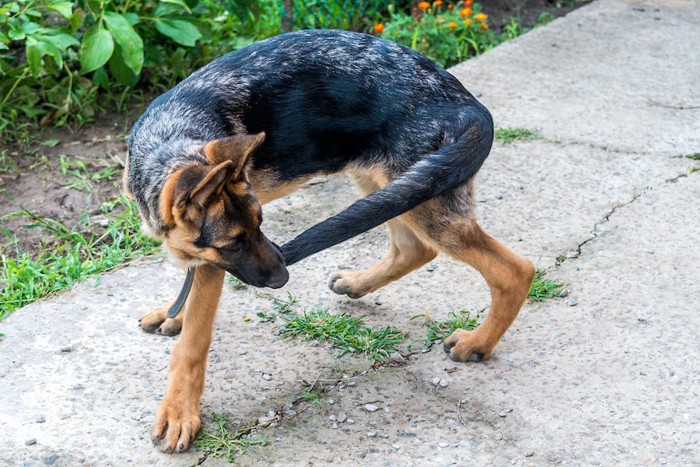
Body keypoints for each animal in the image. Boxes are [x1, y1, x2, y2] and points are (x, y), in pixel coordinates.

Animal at [123, 29, 532, 454]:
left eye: (261, 224)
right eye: (235, 242)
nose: (284, 278)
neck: (170, 139)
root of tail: (469, 106)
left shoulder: (211, 265)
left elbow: (193, 343)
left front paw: (179, 413)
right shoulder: (206, 254)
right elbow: (188, 291)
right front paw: (174, 314)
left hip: (422, 195)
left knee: (514, 270)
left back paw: (478, 343)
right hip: (393, 187)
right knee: (415, 248)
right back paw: (357, 283)